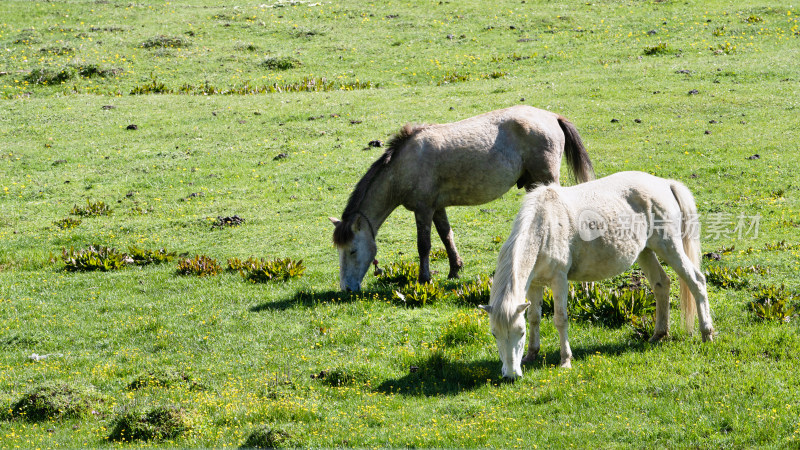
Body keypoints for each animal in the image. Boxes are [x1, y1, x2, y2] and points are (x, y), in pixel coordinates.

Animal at [326, 105, 592, 292]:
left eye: (352, 251)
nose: (346, 289)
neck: (404, 165)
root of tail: (552, 117)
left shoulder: (423, 209)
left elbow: (424, 245)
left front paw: (424, 279)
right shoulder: (437, 208)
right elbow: (446, 236)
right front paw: (455, 269)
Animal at [478, 172, 716, 380]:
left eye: (520, 333)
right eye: (494, 334)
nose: (510, 375)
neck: (544, 227)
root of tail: (665, 183)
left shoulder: (559, 280)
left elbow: (560, 319)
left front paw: (565, 360)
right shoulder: (536, 284)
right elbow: (535, 317)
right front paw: (531, 355)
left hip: (669, 246)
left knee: (696, 282)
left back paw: (707, 334)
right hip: (645, 251)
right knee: (661, 284)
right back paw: (659, 334)